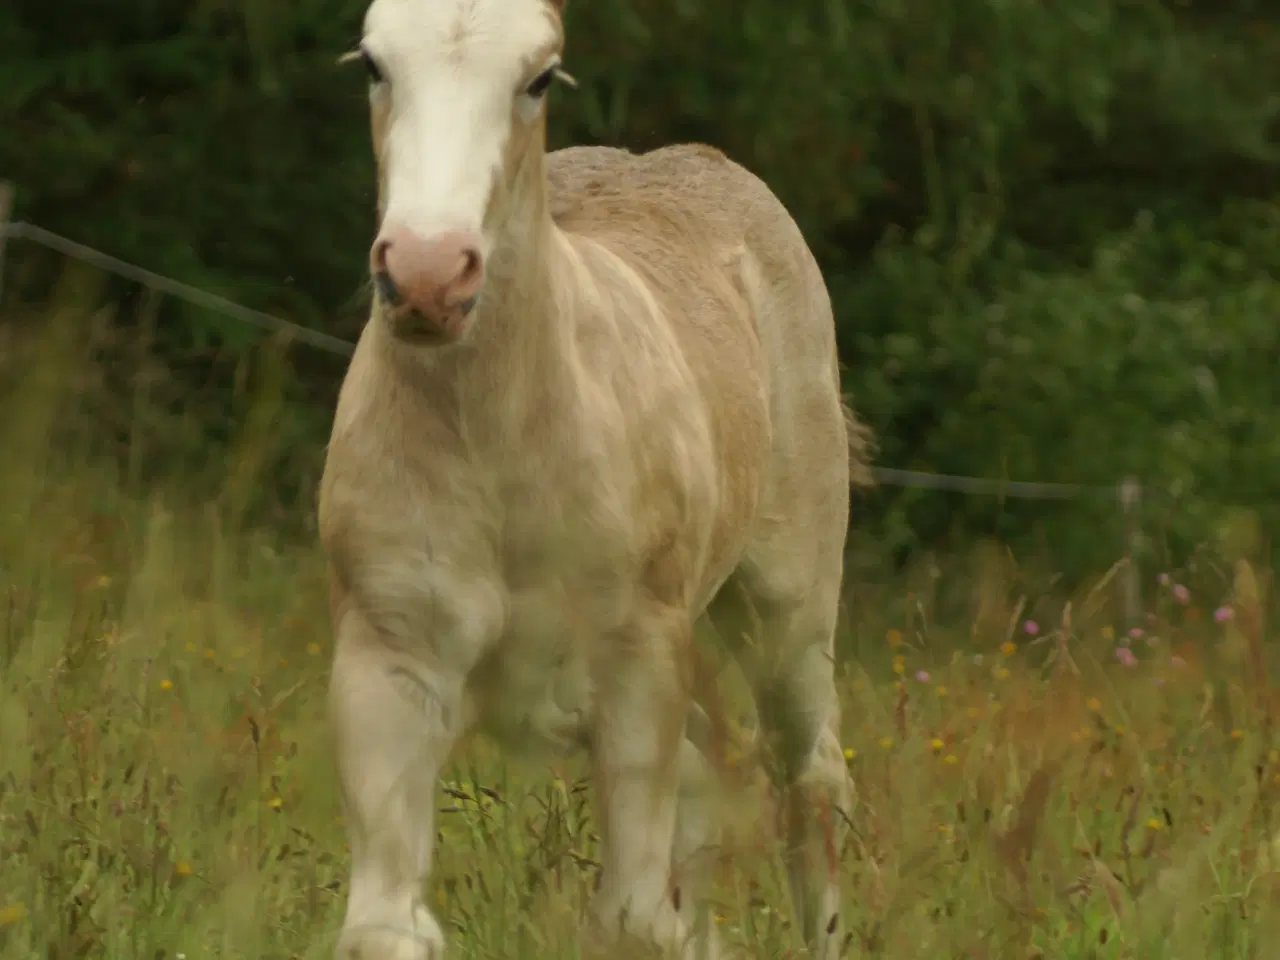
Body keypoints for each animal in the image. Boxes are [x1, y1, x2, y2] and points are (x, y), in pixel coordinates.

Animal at [318, 0, 870, 957]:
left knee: (809, 782)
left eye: (539, 76)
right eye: (375, 63)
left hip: (789, 604)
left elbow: (633, 921)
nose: (428, 275)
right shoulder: (388, 663)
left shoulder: (639, 666)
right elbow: (386, 923)